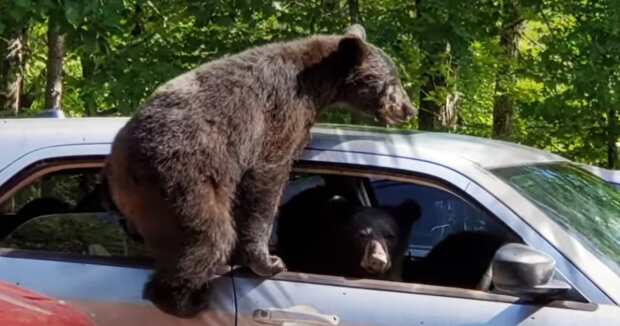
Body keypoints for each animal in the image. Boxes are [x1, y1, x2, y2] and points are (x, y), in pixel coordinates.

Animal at [104, 23, 418, 318]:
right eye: (393, 81)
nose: (409, 108)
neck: (319, 84)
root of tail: (117, 168)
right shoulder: (279, 115)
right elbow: (268, 176)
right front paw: (268, 261)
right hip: (182, 181)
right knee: (207, 236)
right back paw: (186, 300)